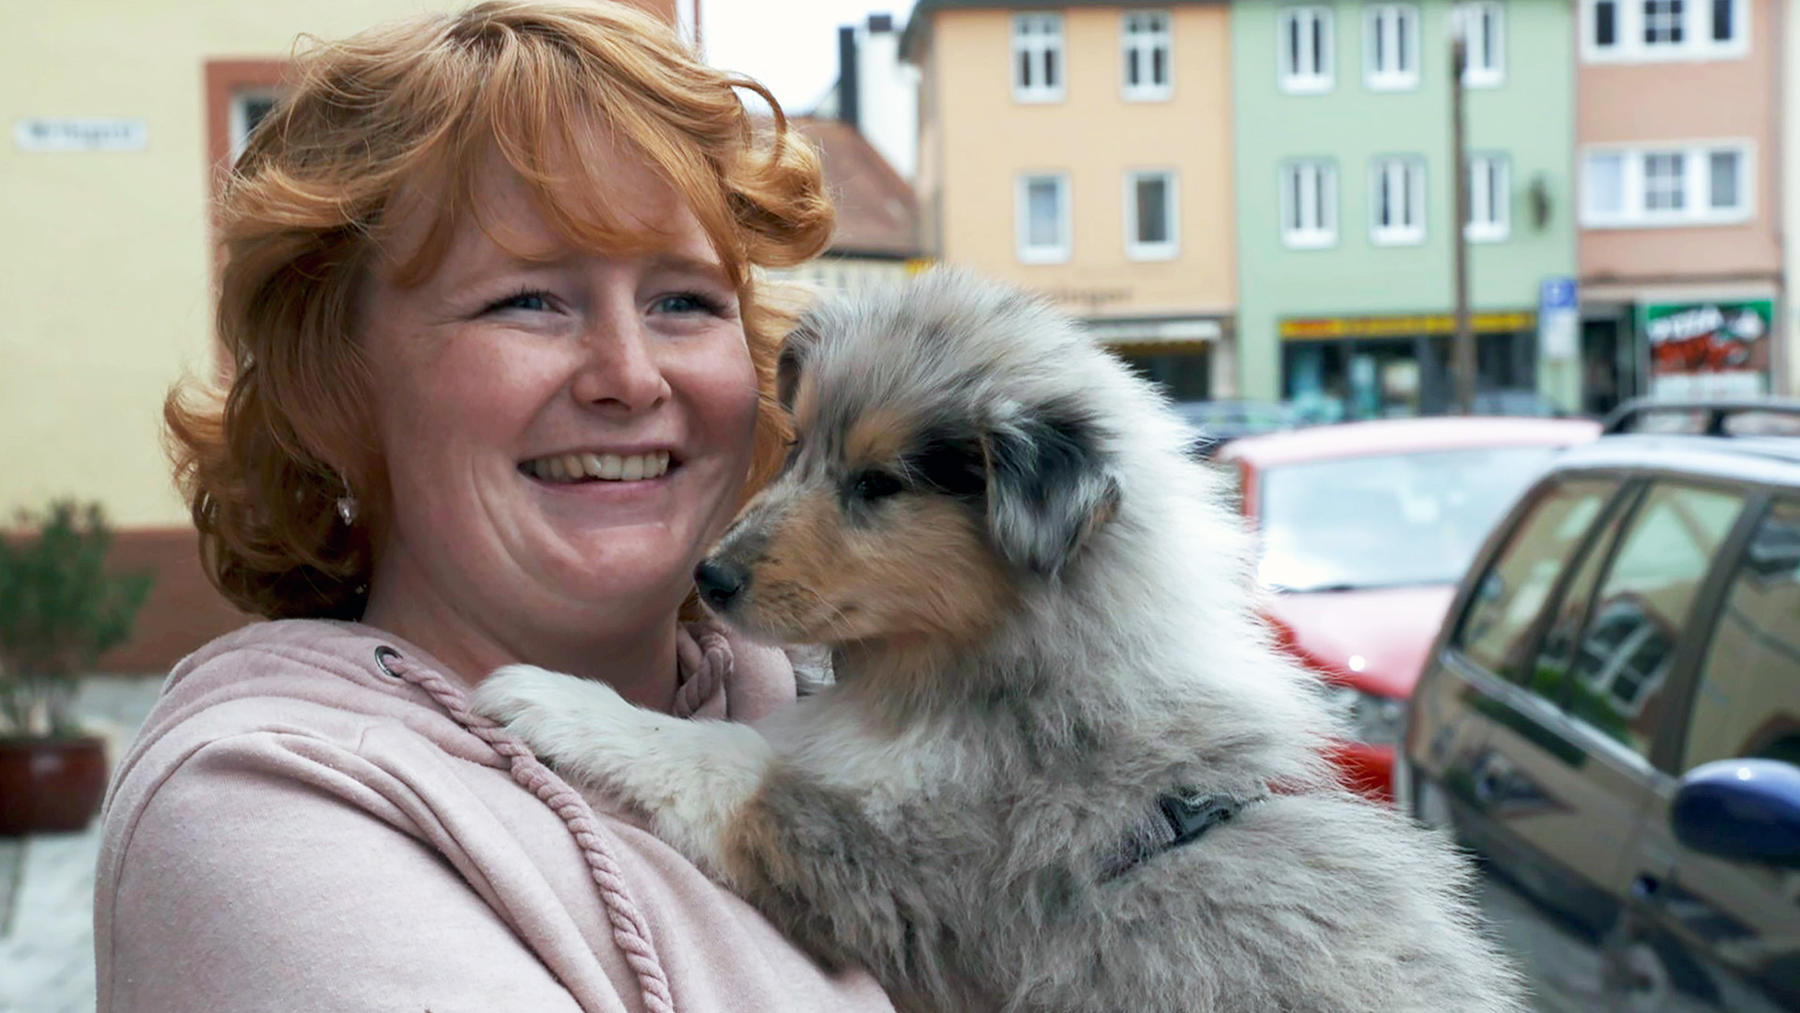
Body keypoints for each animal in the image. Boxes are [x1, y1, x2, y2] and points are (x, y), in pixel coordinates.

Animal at [471, 269, 1526, 1013]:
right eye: (798, 447)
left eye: (880, 483)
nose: (709, 578)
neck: (961, 677)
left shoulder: (904, 865)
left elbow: (716, 753)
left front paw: (547, 693)